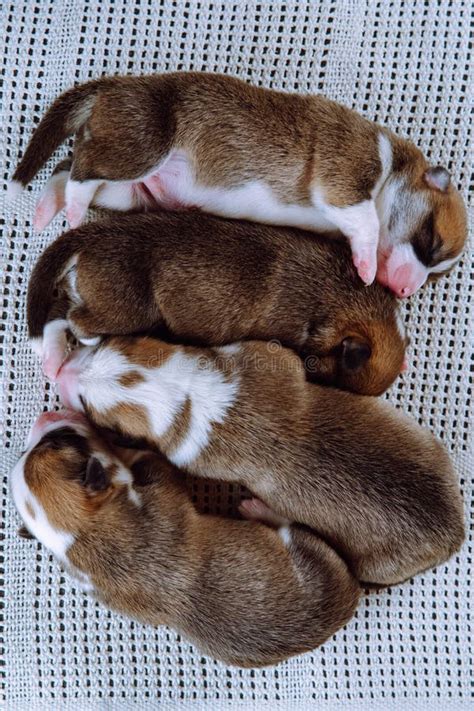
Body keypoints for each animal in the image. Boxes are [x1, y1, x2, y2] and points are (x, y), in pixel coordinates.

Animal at [9, 72, 468, 294]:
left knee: (68, 165)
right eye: (429, 242)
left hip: (125, 187)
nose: (406, 291)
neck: (393, 167)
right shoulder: (346, 173)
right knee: (82, 169)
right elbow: (368, 223)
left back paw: (48, 207)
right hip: (143, 142)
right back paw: (71, 210)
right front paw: (367, 265)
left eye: (435, 275)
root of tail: (114, 86)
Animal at [9, 408, 360, 672]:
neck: (80, 532)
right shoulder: (161, 493)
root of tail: (349, 601)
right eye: (61, 442)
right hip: (305, 548)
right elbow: (150, 463)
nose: (47, 414)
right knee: (288, 526)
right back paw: (258, 508)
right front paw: (123, 448)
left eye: (46, 445)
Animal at [25, 209, 406, 394]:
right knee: (80, 320)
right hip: (128, 309)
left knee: (62, 309)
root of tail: (93, 235)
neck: (338, 299)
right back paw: (88, 340)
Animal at [54, 336, 462, 588]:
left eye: (86, 403)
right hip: (432, 450)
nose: (59, 371)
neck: (178, 394)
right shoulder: (268, 360)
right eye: (100, 346)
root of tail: (454, 536)